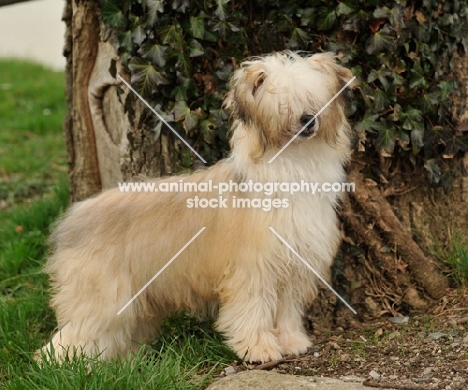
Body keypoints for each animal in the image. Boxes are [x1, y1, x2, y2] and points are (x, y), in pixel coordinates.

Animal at [38, 50, 352, 364]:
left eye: (313, 97)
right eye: (281, 102)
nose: (308, 120)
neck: (292, 166)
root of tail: (76, 214)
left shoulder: (294, 267)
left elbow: (286, 311)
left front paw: (291, 341)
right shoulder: (252, 270)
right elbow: (254, 309)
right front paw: (258, 348)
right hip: (101, 295)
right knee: (71, 335)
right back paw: (61, 365)